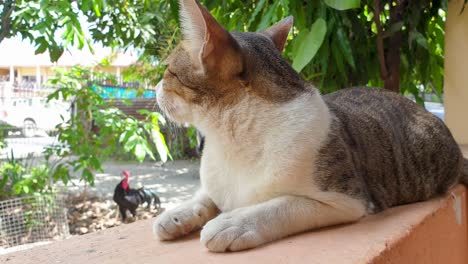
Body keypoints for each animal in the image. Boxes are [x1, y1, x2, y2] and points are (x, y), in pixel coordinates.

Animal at [153, 0, 468, 253]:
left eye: (168, 71)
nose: (155, 87)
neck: (228, 137)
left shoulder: (346, 199)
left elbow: (283, 205)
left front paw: (235, 221)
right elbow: (206, 194)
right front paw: (178, 214)